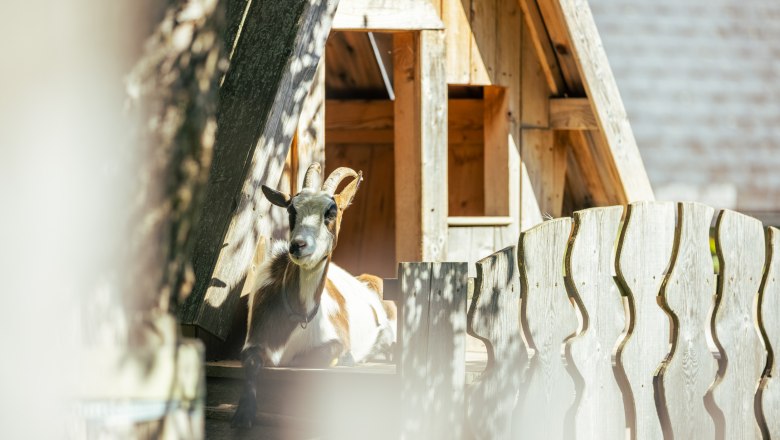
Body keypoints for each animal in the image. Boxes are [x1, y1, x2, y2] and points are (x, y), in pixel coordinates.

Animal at [232, 163, 396, 428]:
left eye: (332, 211)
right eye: (291, 210)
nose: (298, 245)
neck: (299, 315)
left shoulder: (335, 340)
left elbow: (319, 355)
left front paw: (346, 359)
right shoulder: (254, 339)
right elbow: (252, 363)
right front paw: (244, 413)